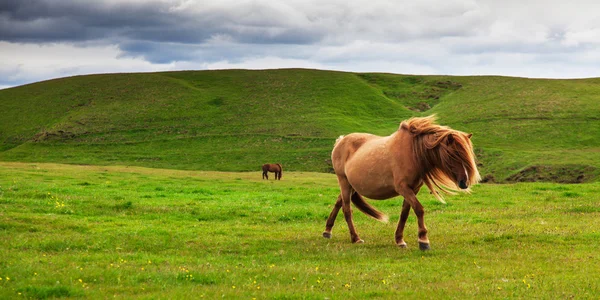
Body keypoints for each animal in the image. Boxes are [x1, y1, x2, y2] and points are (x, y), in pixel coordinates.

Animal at [322, 115, 480, 251]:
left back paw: (327, 231)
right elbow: (419, 209)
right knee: (347, 210)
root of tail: (340, 141)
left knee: (339, 202)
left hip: (351, 186)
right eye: (453, 155)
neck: (412, 152)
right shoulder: (403, 188)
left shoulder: (413, 189)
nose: (464, 182)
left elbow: (405, 213)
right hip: (344, 182)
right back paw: (355, 238)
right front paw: (423, 241)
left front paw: (399, 240)